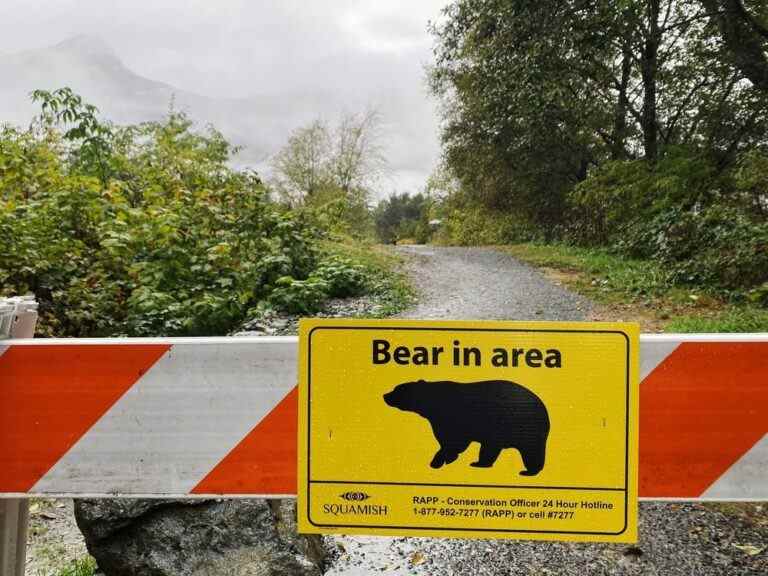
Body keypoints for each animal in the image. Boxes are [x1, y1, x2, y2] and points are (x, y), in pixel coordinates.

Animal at [382, 380, 548, 474]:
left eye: (396, 389)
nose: (385, 395)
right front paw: (445, 458)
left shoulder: (454, 417)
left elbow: (454, 441)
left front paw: (439, 459)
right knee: (490, 448)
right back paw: (480, 463)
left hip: (524, 427)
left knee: (531, 452)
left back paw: (529, 471)